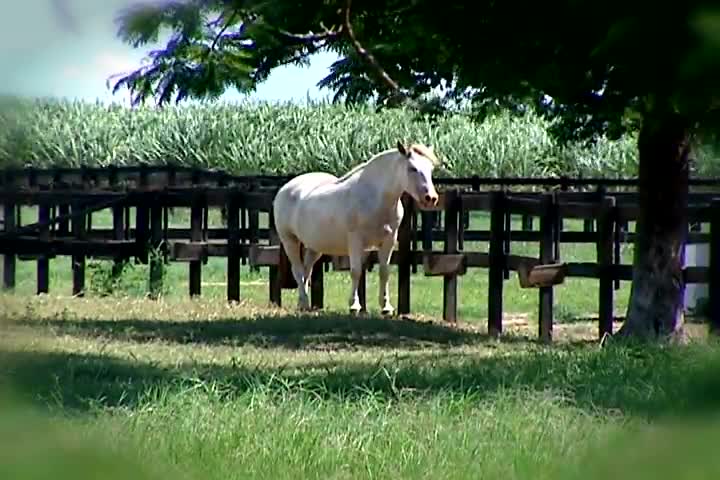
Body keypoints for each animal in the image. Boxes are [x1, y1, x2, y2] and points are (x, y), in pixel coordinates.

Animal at [272, 141, 438, 316]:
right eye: (412, 168)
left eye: (430, 169)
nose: (431, 198)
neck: (374, 198)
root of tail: (284, 189)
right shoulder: (355, 241)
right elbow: (356, 271)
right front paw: (354, 305)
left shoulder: (388, 241)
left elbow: (384, 271)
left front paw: (386, 306)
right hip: (290, 240)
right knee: (297, 270)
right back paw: (304, 302)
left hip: (314, 247)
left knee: (306, 271)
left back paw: (302, 303)